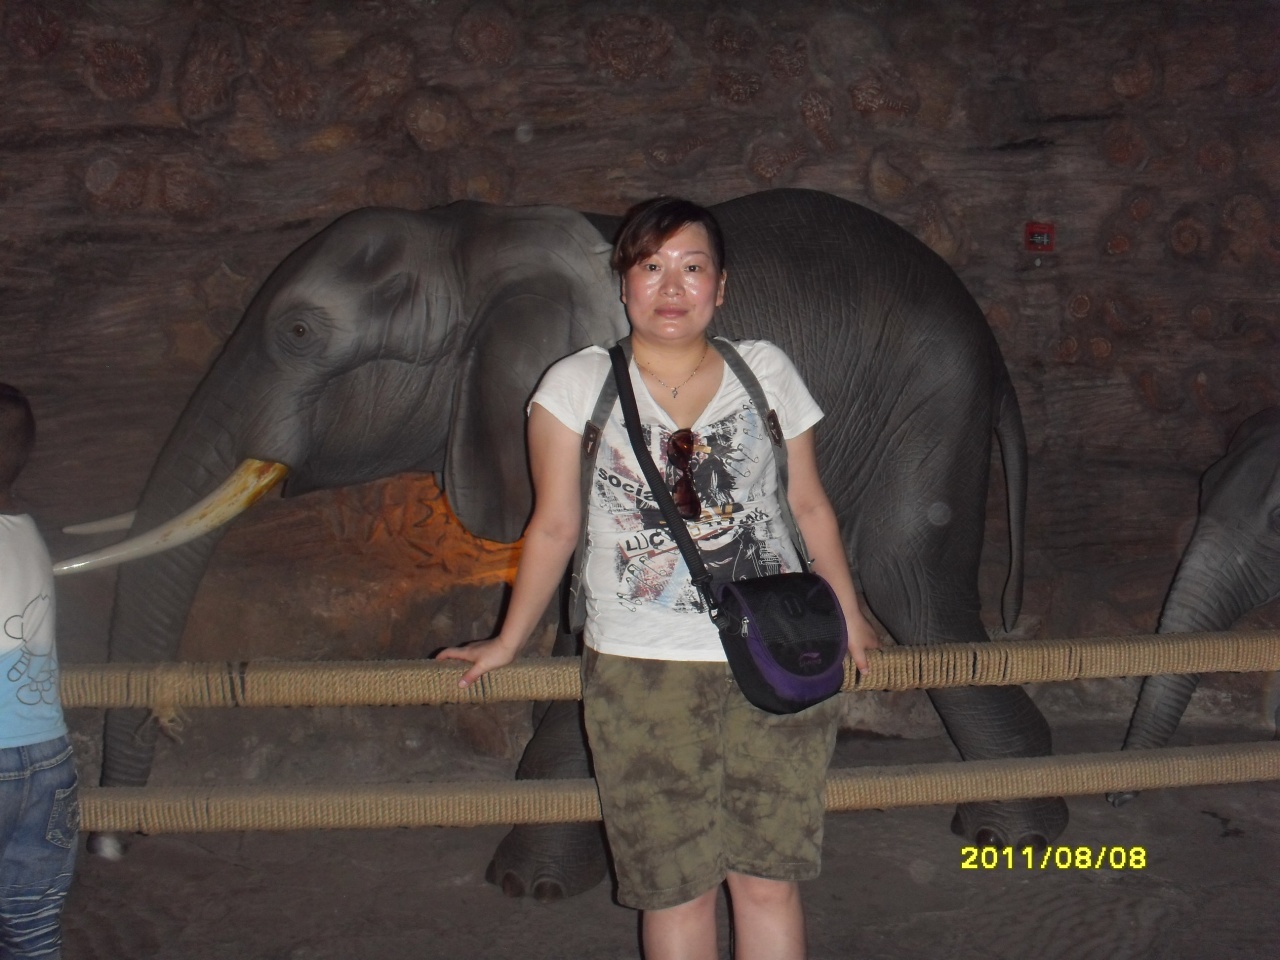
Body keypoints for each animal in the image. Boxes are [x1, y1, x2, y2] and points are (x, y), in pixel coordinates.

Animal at [59, 188, 1068, 897]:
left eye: (300, 331)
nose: (114, 842)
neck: (472, 238)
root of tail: (992, 349)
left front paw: (526, 883)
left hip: (930, 400)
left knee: (912, 581)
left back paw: (1011, 835)